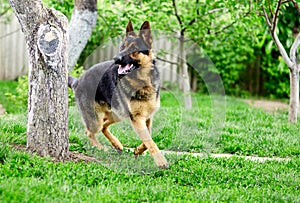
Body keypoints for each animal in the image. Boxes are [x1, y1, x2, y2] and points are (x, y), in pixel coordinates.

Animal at [68, 21, 169, 169]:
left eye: (134, 49)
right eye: (122, 47)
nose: (116, 59)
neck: (143, 83)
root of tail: (78, 81)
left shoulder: (147, 117)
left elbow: (148, 138)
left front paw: (138, 150)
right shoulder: (137, 119)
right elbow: (149, 140)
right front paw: (160, 160)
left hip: (117, 114)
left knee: (104, 126)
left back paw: (117, 144)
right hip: (96, 120)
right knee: (90, 131)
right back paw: (100, 147)